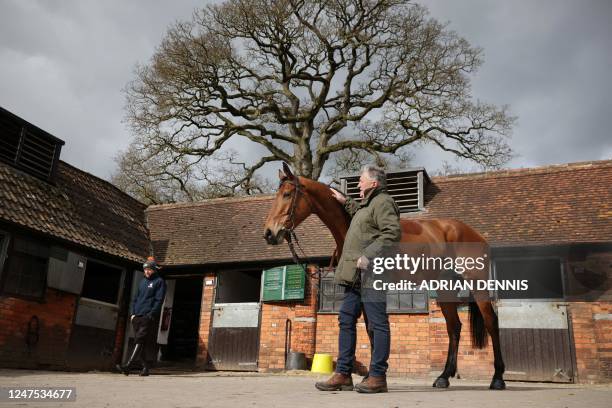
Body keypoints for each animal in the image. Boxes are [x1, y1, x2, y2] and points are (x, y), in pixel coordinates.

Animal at [264, 163, 506, 388]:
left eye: (287, 194)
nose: (269, 233)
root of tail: (473, 233)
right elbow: (369, 329)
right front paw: (366, 376)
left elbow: (375, 328)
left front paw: (374, 377)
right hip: (445, 288)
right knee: (454, 327)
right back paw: (443, 377)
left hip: (477, 284)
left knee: (491, 322)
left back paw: (497, 378)